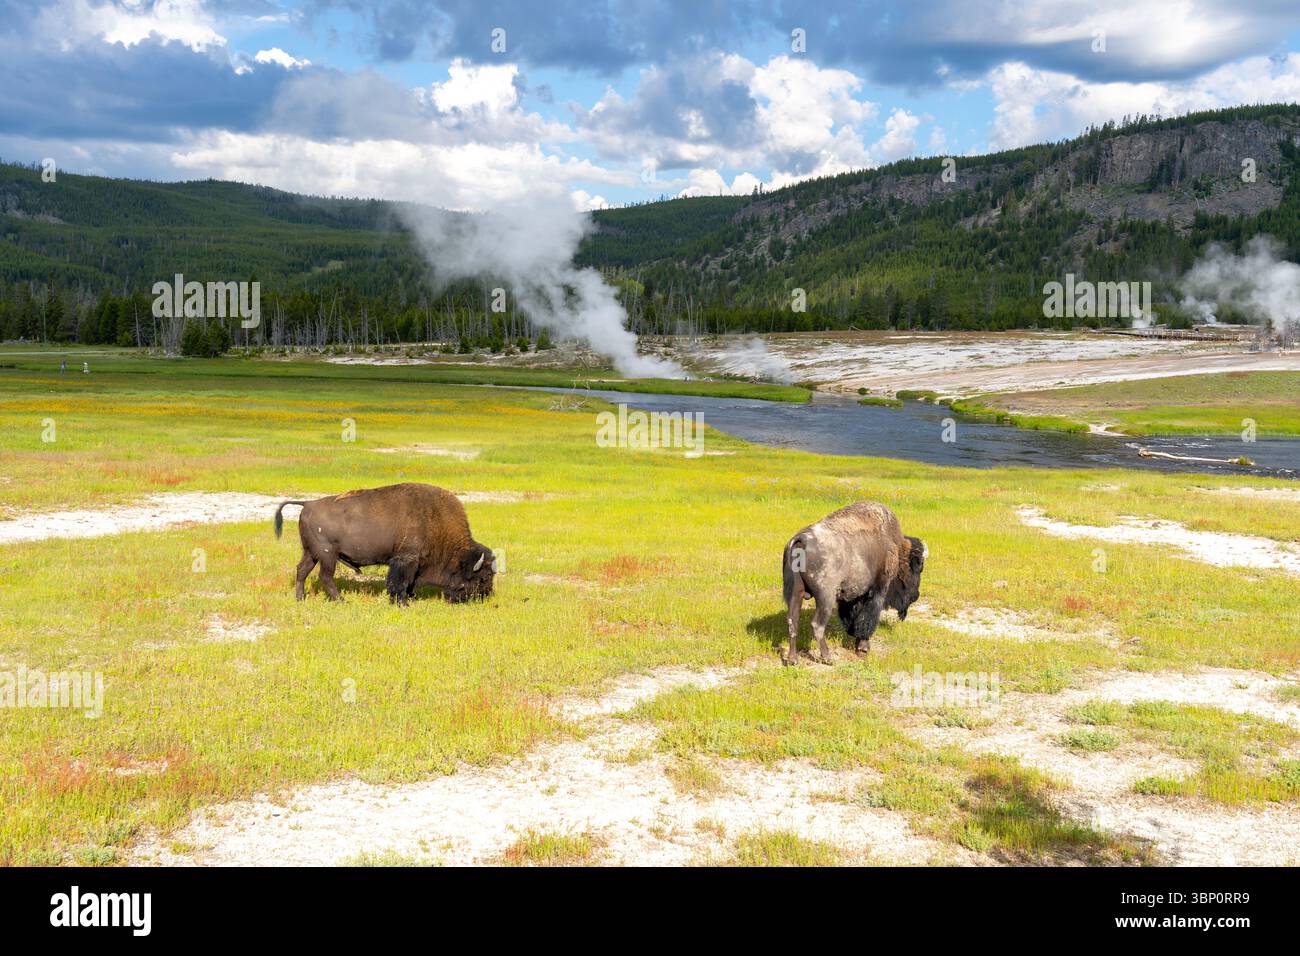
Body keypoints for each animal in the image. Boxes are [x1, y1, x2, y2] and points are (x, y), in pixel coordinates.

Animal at [274, 482, 496, 604]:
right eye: (483, 578)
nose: (486, 596)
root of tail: (307, 504)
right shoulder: (405, 560)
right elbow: (400, 582)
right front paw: (403, 602)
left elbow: (410, 582)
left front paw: (411, 598)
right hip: (328, 555)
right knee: (325, 577)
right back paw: (342, 601)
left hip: (311, 553)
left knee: (302, 571)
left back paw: (300, 598)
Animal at [782, 500, 926, 665]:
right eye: (918, 568)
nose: (916, 595)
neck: (896, 547)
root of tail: (801, 540)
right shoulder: (878, 590)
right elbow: (867, 618)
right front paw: (863, 648)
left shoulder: (854, 596)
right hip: (825, 598)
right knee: (817, 625)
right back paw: (828, 658)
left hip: (795, 593)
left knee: (793, 622)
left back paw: (793, 660)